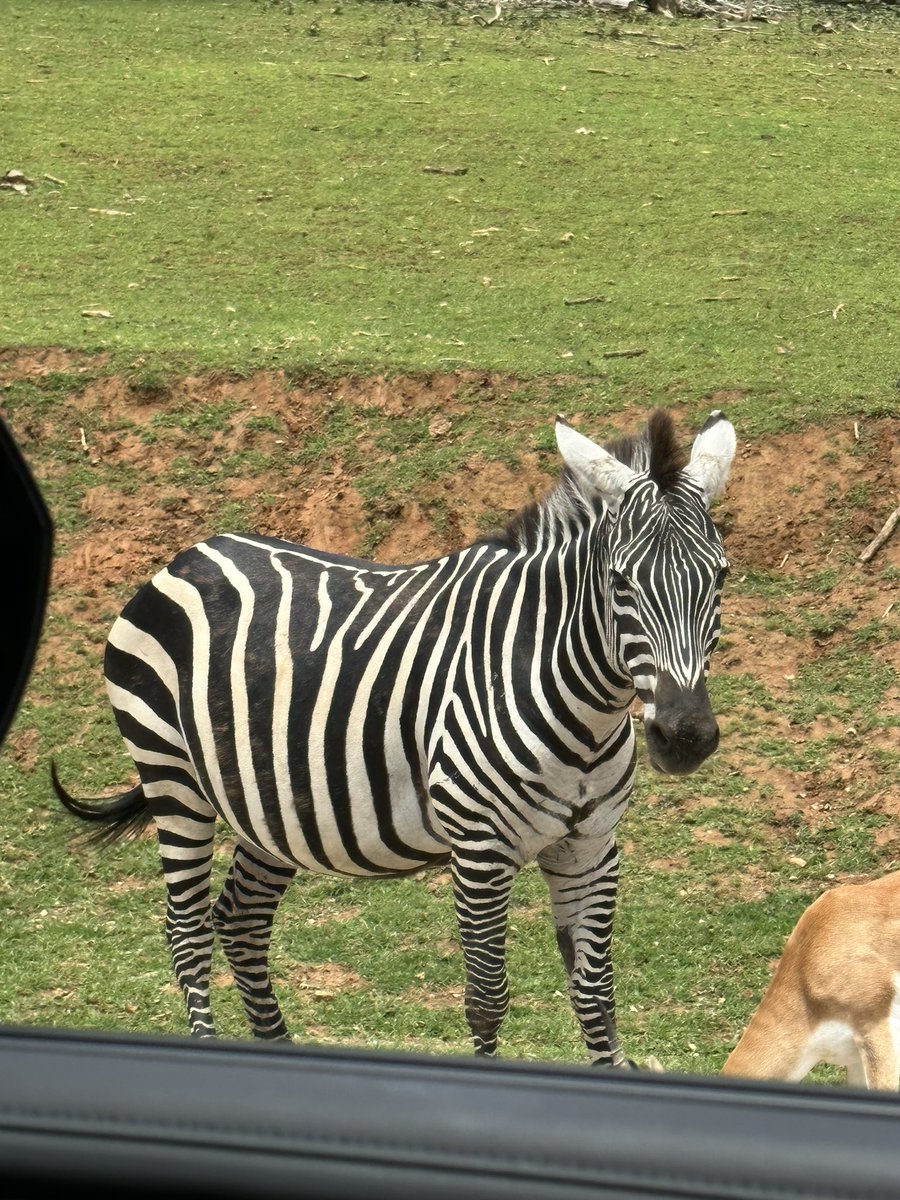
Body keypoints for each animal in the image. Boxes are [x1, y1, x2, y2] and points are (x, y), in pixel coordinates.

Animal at [53, 407, 736, 1066]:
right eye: (621, 583)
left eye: (722, 577)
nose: (685, 736)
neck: (580, 712)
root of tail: (189, 554)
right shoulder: (479, 848)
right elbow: (487, 997)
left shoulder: (590, 849)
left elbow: (595, 995)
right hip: (172, 777)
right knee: (186, 928)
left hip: (267, 802)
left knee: (240, 919)